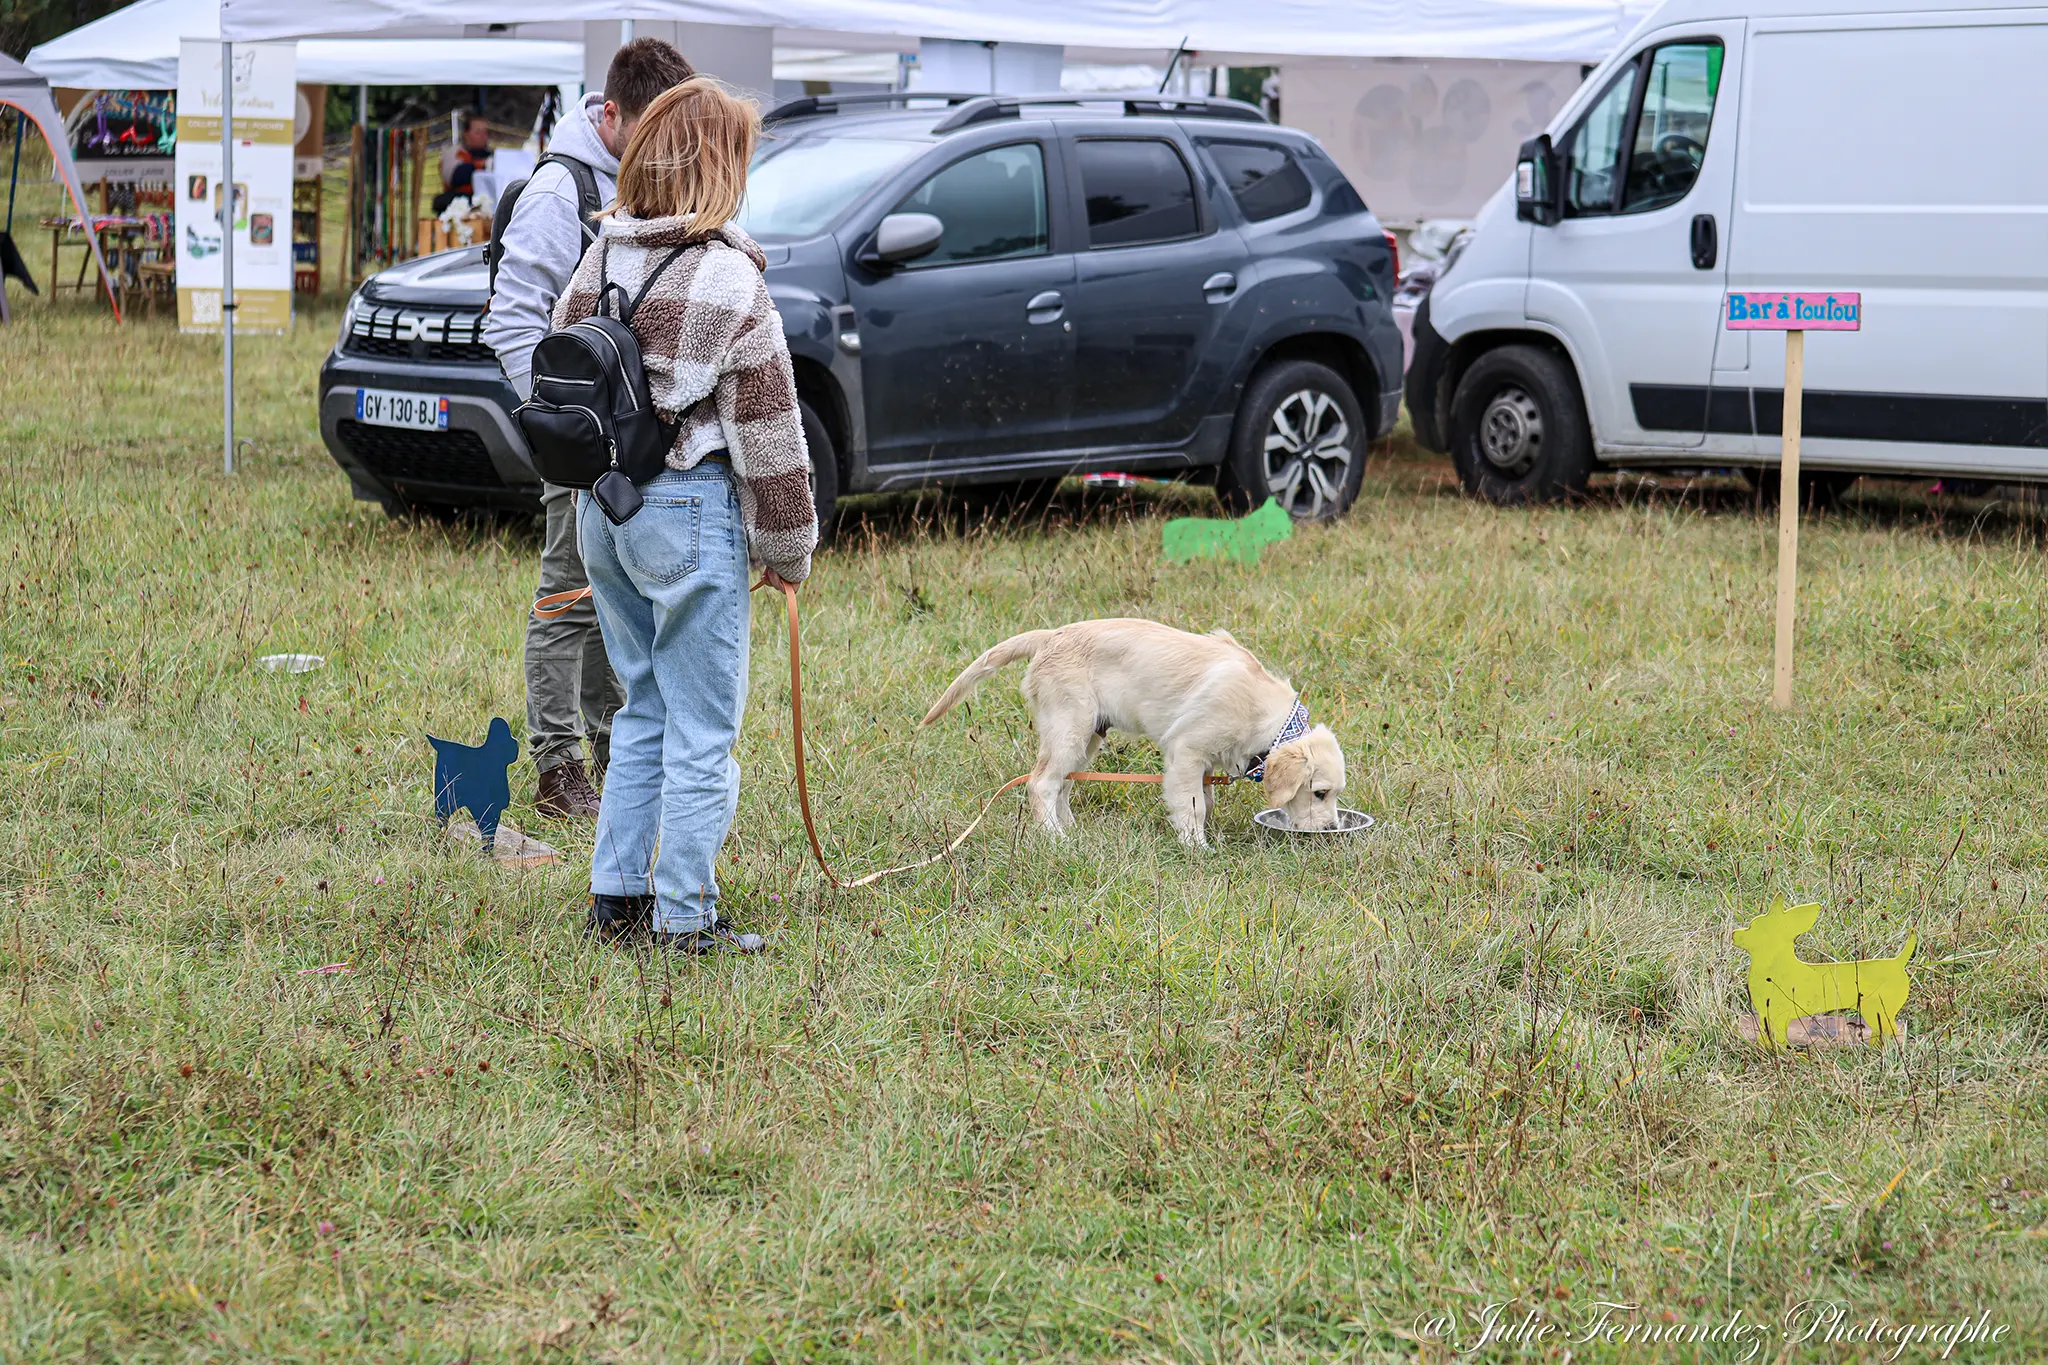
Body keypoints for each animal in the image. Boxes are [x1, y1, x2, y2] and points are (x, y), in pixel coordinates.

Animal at [925, 618, 1343, 843]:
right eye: (1319, 793)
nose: (1331, 828)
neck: (1266, 715)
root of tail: (1050, 635)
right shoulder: (1186, 751)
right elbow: (1192, 805)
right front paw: (1197, 846)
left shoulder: (1207, 761)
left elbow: (1205, 801)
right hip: (1068, 727)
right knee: (1041, 782)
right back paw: (1055, 837)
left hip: (1087, 737)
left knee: (1063, 783)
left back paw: (1070, 828)